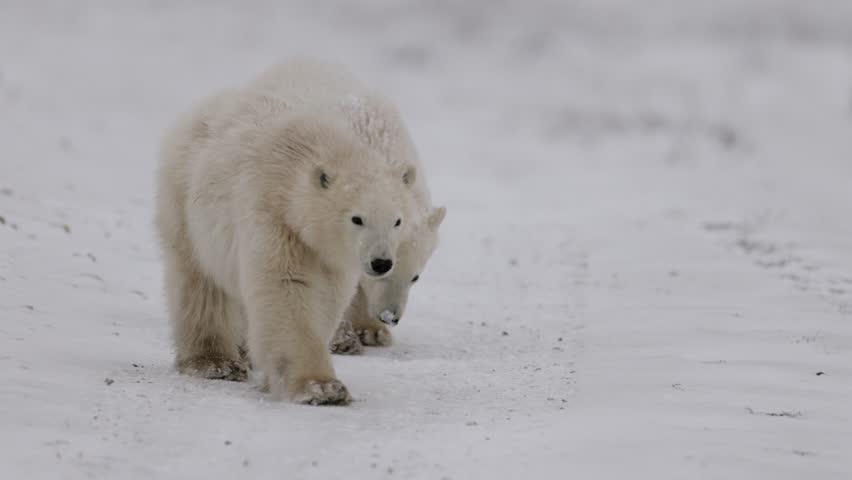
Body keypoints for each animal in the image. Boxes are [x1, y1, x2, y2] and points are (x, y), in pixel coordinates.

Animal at [154, 88, 418, 405]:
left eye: (397, 220)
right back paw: (215, 362)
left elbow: (326, 299)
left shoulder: (329, 255)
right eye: (357, 218)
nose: (381, 263)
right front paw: (322, 388)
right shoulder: (274, 217)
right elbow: (286, 288)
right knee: (201, 284)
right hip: (185, 205)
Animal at [247, 59, 445, 353]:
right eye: (382, 274)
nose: (390, 317)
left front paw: (374, 332)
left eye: (415, 277)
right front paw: (344, 339)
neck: (374, 143)